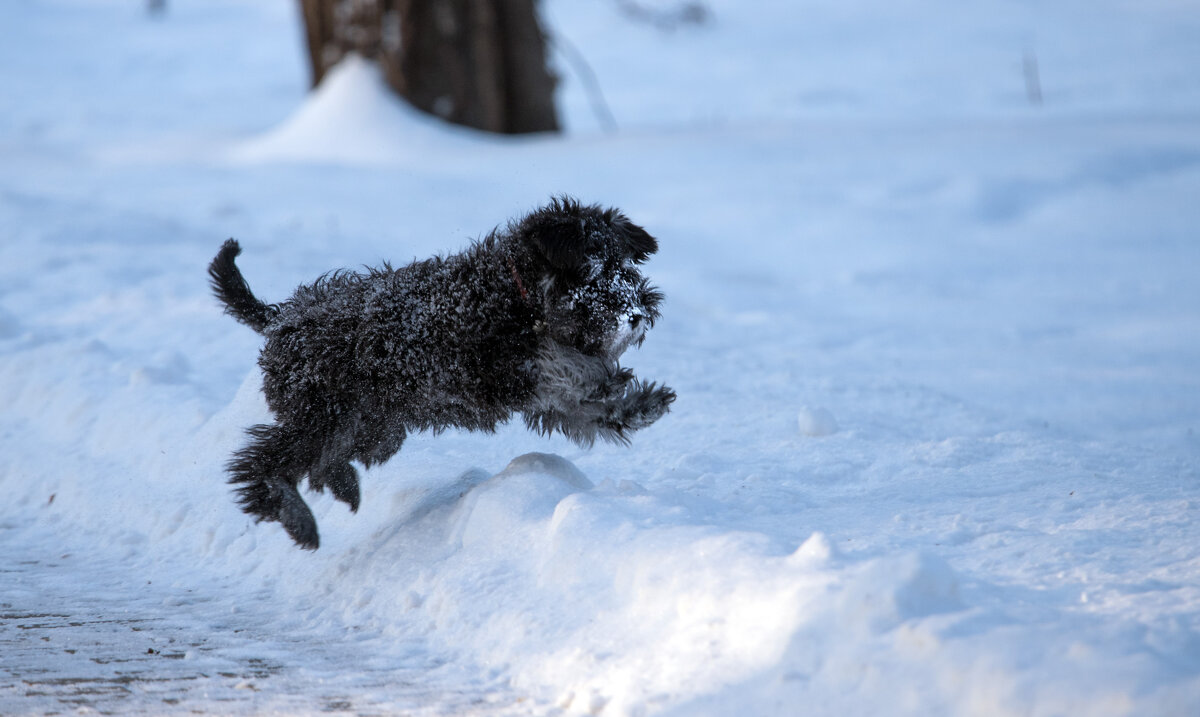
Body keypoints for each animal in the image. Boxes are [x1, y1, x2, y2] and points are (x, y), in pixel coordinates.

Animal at [208, 197, 676, 551]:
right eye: (593, 272)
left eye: (628, 269)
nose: (636, 315)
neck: (518, 291)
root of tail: (280, 317)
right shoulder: (493, 369)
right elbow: (559, 372)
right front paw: (605, 381)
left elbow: (583, 407)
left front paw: (639, 405)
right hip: (321, 414)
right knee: (263, 462)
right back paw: (295, 515)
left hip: (374, 426)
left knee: (323, 462)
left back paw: (342, 487)